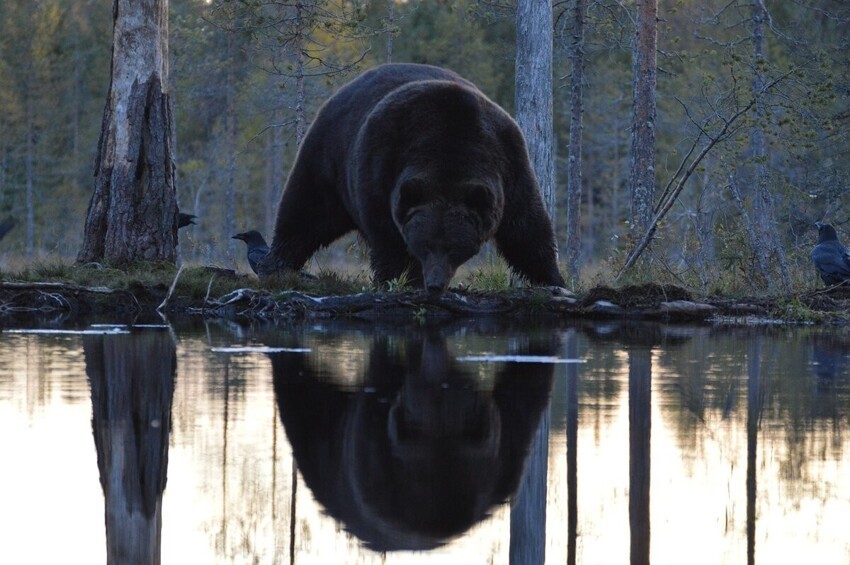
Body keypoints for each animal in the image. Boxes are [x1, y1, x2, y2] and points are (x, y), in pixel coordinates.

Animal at [258, 62, 564, 296]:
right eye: (425, 246)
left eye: (453, 248)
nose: (436, 285)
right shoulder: (382, 166)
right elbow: (388, 239)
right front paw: (403, 279)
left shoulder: (510, 163)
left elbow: (526, 228)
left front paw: (552, 279)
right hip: (328, 159)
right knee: (305, 212)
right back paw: (276, 264)